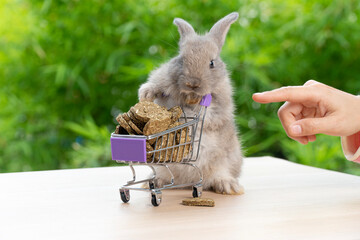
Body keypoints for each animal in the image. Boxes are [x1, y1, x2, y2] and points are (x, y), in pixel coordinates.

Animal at [139, 12, 243, 194]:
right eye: (181, 60)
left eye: (211, 63)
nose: (193, 83)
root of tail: (188, 182)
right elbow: (156, 86)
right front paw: (145, 94)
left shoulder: (220, 102)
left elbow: (209, 113)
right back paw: (154, 182)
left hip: (225, 160)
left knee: (217, 175)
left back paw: (228, 186)